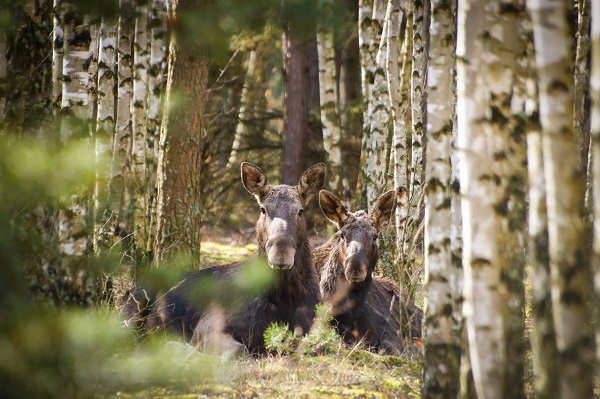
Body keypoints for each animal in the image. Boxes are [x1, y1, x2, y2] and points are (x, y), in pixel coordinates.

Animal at [122, 161, 326, 354]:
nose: (280, 254)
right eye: (263, 209)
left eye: (300, 211)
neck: (285, 298)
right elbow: (238, 350)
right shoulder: (208, 324)